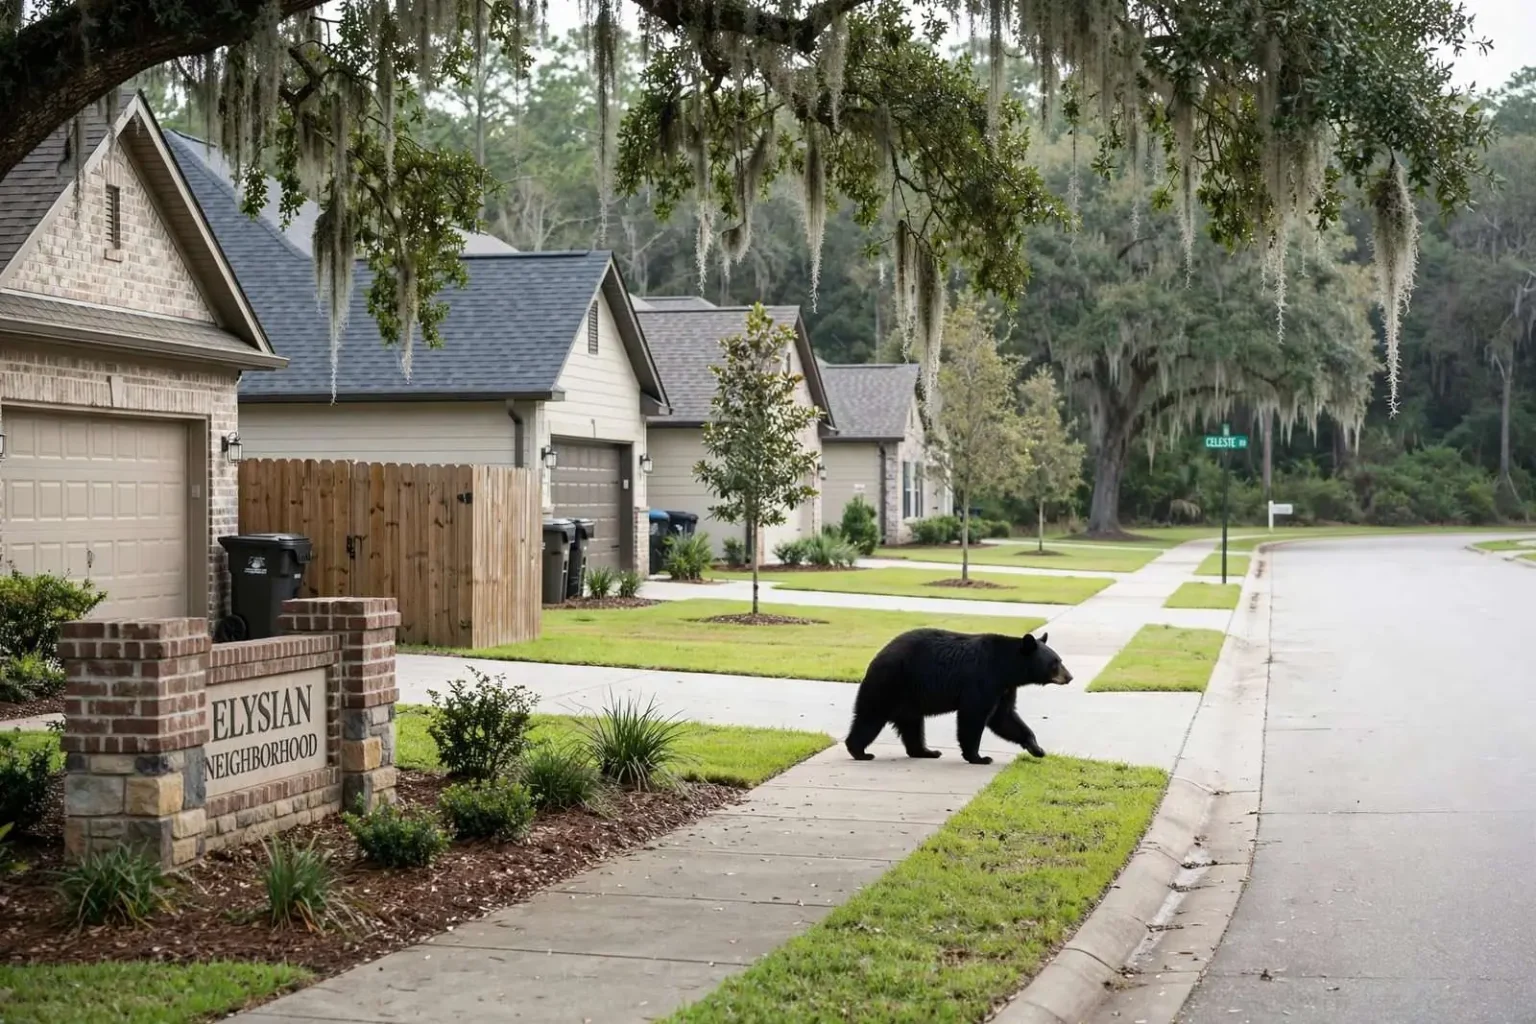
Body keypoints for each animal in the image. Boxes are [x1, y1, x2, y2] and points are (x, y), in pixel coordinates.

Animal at [844, 628, 1073, 765]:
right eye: (1055, 662)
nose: (1069, 677)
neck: (1005, 667)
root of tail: (876, 657)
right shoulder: (983, 680)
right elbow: (973, 716)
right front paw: (979, 757)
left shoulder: (1004, 689)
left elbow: (1005, 718)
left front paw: (1036, 748)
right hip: (890, 684)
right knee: (870, 716)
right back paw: (860, 751)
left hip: (909, 698)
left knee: (912, 725)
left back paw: (926, 751)